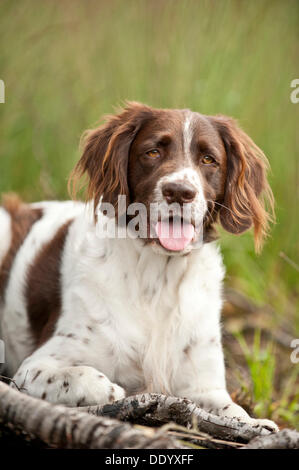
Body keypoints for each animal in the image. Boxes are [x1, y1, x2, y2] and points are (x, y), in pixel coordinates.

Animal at [0, 103, 278, 430]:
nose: (179, 192)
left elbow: (234, 412)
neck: (158, 278)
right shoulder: (35, 366)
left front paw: (257, 424)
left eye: (209, 159)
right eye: (153, 152)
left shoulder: (204, 387)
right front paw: (111, 389)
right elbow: (83, 377)